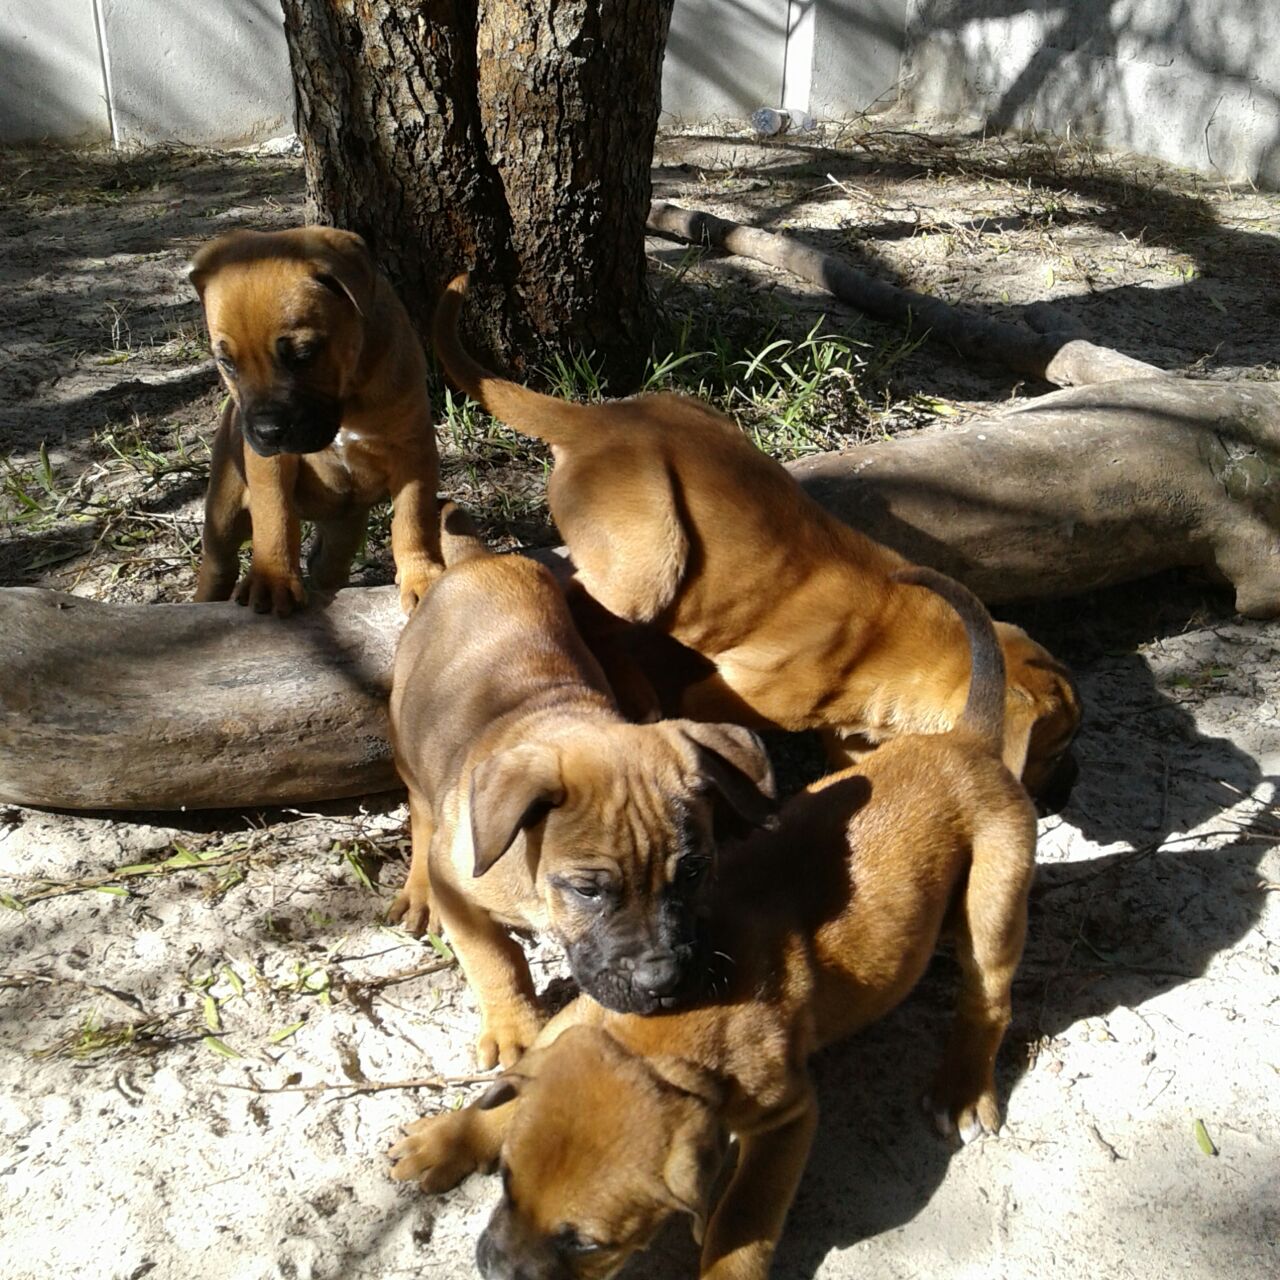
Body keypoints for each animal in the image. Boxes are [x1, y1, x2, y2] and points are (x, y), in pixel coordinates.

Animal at [186, 227, 442, 616]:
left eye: (303, 355)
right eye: (227, 363)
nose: (267, 431)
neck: (348, 399)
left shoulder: (413, 450)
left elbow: (415, 517)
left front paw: (422, 574)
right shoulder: (271, 464)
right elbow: (275, 514)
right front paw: (273, 578)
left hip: (345, 524)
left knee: (326, 563)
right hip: (223, 514)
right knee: (219, 566)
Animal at [384, 504, 773, 1064]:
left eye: (695, 870)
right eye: (588, 890)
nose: (663, 982)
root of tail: (478, 561)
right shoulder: (458, 884)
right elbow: (494, 956)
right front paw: (514, 1027)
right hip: (408, 742)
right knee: (420, 813)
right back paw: (418, 892)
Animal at [389, 568, 1039, 1280]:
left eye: (587, 1244)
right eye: (505, 1183)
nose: (493, 1269)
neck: (658, 1040)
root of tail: (968, 740)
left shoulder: (787, 1119)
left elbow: (741, 1220)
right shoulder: (573, 1021)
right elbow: (510, 1073)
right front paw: (451, 1137)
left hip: (995, 901)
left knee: (990, 999)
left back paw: (961, 1089)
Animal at [432, 272, 1080, 808]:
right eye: (1054, 749)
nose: (1070, 793)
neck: (900, 636)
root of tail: (596, 421)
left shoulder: (846, 734)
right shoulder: (724, 699)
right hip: (650, 564)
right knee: (577, 599)